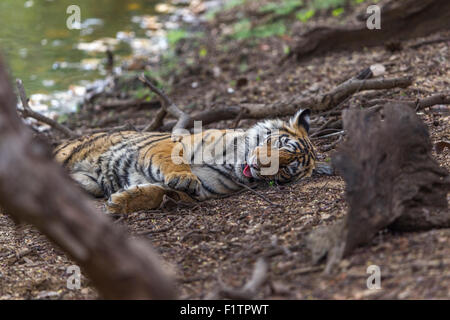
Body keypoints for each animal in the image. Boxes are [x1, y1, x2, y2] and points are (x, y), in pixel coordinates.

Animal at [54, 109, 318, 214]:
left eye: (287, 170)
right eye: (280, 144)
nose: (259, 165)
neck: (231, 163)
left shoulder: (200, 194)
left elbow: (158, 193)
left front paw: (120, 203)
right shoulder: (170, 144)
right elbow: (174, 163)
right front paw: (184, 177)